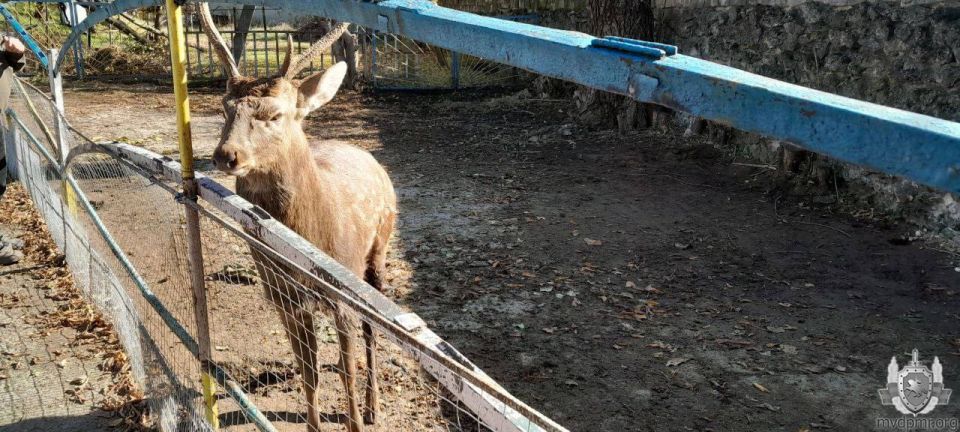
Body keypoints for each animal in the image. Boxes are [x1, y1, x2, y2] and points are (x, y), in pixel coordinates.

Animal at [197, 5, 396, 432]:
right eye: (225, 107)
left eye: (275, 114)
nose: (227, 155)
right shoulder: (284, 301)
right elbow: (309, 373)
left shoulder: (343, 297)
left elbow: (347, 371)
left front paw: (356, 421)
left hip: (379, 250)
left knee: (372, 331)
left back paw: (374, 407)